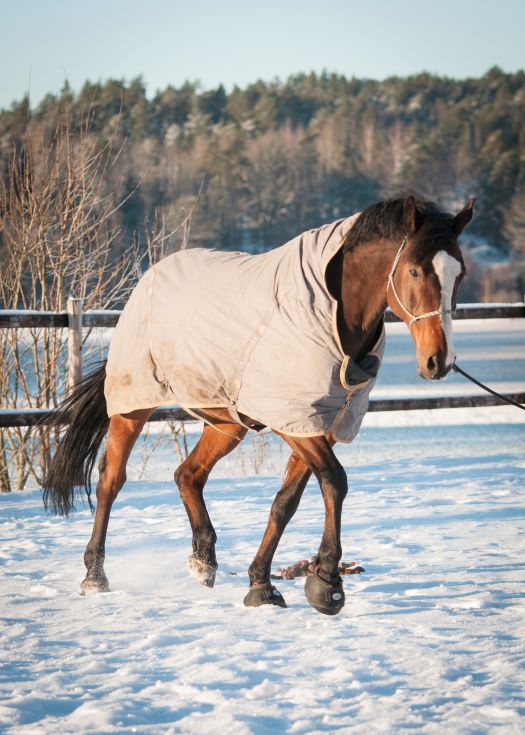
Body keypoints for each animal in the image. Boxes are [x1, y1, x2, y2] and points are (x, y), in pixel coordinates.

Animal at [42, 193, 474, 616]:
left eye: (461, 274)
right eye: (415, 271)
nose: (439, 361)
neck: (335, 317)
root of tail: (148, 278)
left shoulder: (320, 423)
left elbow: (286, 502)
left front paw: (262, 584)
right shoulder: (293, 419)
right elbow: (335, 481)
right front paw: (327, 584)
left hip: (226, 422)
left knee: (188, 475)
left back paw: (204, 561)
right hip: (133, 407)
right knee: (111, 481)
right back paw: (95, 576)